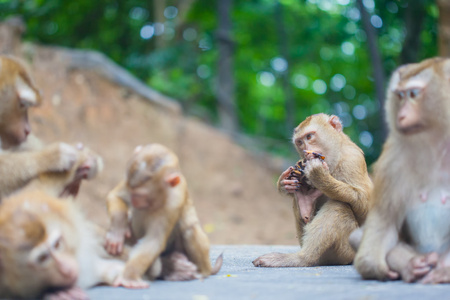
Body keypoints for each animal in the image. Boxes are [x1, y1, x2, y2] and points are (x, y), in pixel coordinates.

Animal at [104, 144, 223, 288]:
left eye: (139, 195)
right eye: (129, 188)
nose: (132, 200)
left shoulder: (173, 203)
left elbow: (154, 240)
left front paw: (129, 275)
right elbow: (115, 196)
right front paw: (117, 232)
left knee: (190, 229)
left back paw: (200, 272)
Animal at [253, 113, 372, 268]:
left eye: (309, 137)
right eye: (300, 142)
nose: (306, 151)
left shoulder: (352, 160)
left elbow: (366, 206)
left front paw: (319, 175)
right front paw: (283, 183)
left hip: (347, 252)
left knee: (339, 206)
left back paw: (301, 258)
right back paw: (305, 203)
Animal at [356, 56, 450, 284]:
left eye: (413, 94)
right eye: (399, 96)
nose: (402, 115)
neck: (436, 145)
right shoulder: (394, 159)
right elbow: (385, 217)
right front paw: (378, 266)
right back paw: (411, 265)